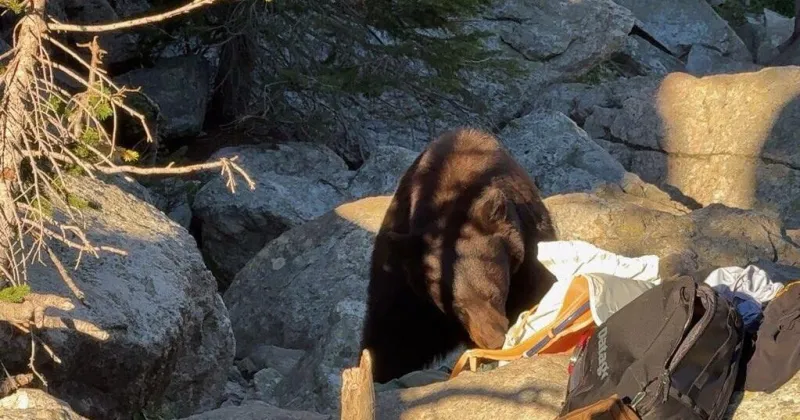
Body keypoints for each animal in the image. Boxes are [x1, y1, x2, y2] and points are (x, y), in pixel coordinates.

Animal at [360, 127, 557, 383]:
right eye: (459, 307)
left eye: (494, 294)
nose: (493, 341)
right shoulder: (408, 280)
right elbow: (394, 330)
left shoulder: (528, 245)